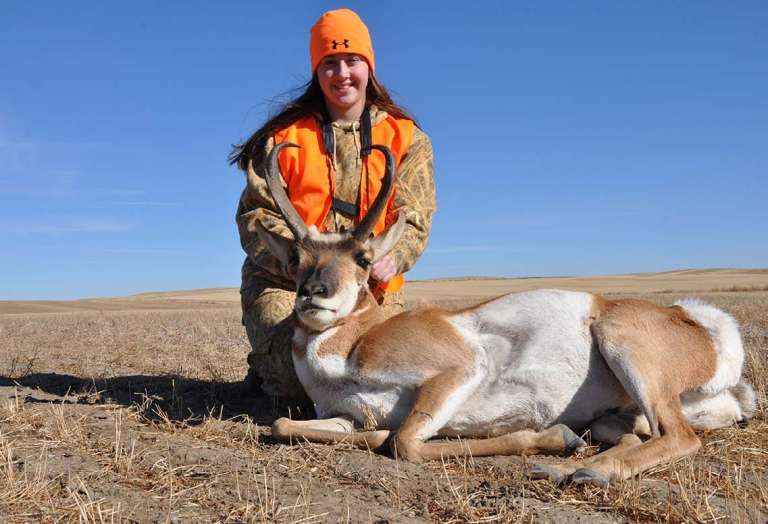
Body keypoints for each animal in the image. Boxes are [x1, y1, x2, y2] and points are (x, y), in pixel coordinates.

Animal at [253, 142, 756, 486]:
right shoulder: (347, 418)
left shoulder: (458, 370)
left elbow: (407, 443)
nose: (313, 293)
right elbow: (285, 425)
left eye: (362, 257)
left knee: (680, 437)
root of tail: (700, 325)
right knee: (639, 433)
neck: (352, 347)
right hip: (621, 412)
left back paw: (583, 470)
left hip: (621, 340)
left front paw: (552, 437)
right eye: (297, 257)